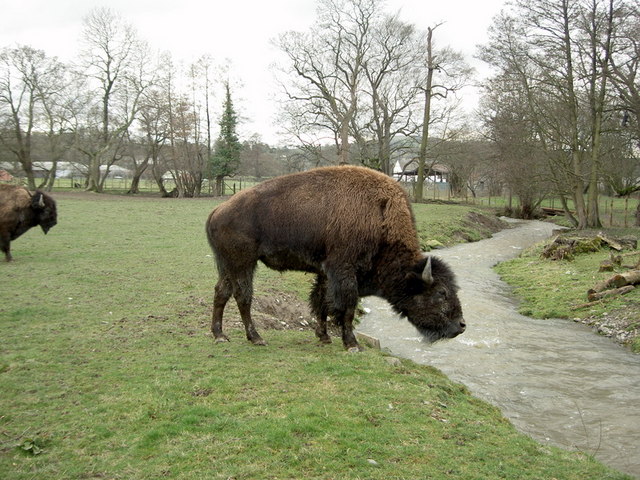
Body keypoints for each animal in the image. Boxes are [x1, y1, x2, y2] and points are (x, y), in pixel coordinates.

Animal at [205, 167, 464, 350]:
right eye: (441, 293)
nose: (461, 325)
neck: (381, 216)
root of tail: (217, 211)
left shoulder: (325, 273)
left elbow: (322, 302)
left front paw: (324, 337)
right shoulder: (344, 271)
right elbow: (346, 306)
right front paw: (352, 344)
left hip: (227, 265)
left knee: (221, 292)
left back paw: (220, 335)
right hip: (243, 263)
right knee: (243, 296)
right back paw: (256, 338)